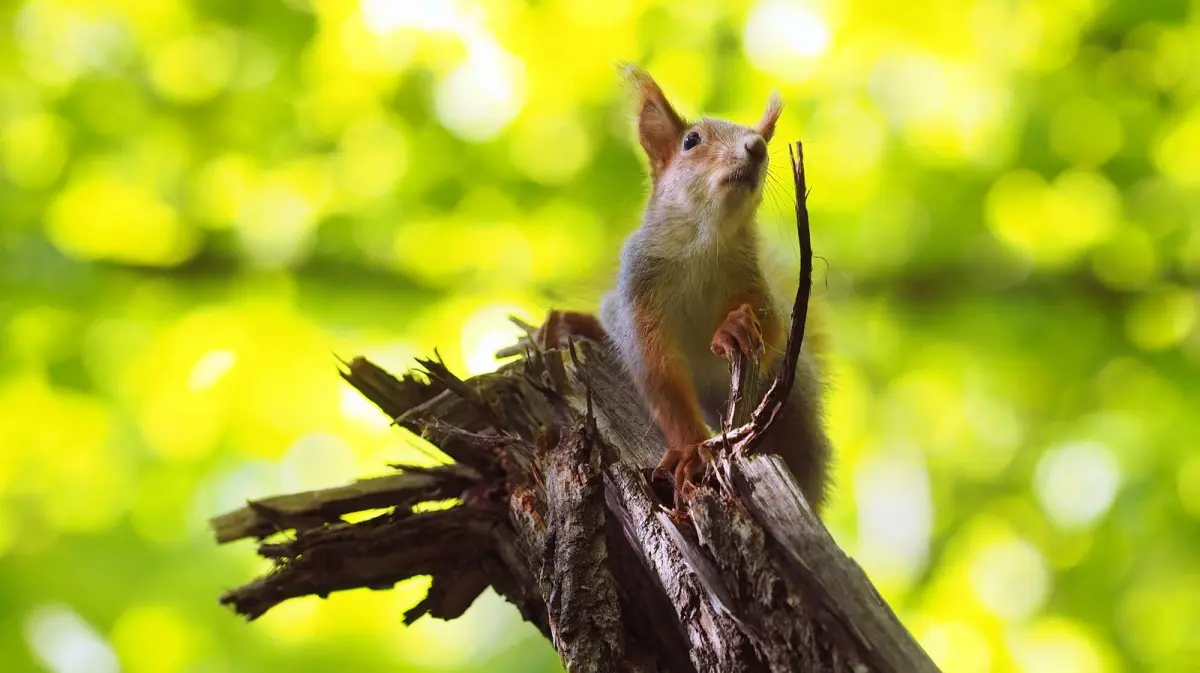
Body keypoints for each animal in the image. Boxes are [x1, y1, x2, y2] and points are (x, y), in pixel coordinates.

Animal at [530, 65, 830, 511]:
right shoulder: (639, 291)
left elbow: (774, 331)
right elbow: (661, 377)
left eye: (763, 140)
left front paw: (736, 329)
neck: (703, 243)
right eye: (691, 141)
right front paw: (691, 451)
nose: (757, 146)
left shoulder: (753, 284)